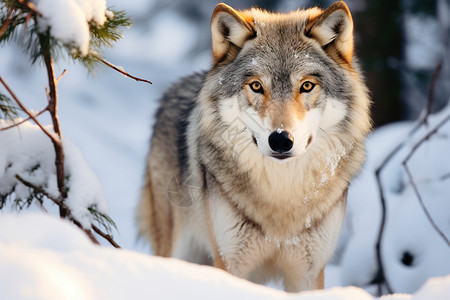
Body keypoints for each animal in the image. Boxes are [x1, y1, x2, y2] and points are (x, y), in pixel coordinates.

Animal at [137, 1, 370, 292]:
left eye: (306, 85)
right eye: (257, 86)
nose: (280, 139)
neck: (282, 195)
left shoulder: (308, 272)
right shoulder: (230, 262)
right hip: (178, 251)